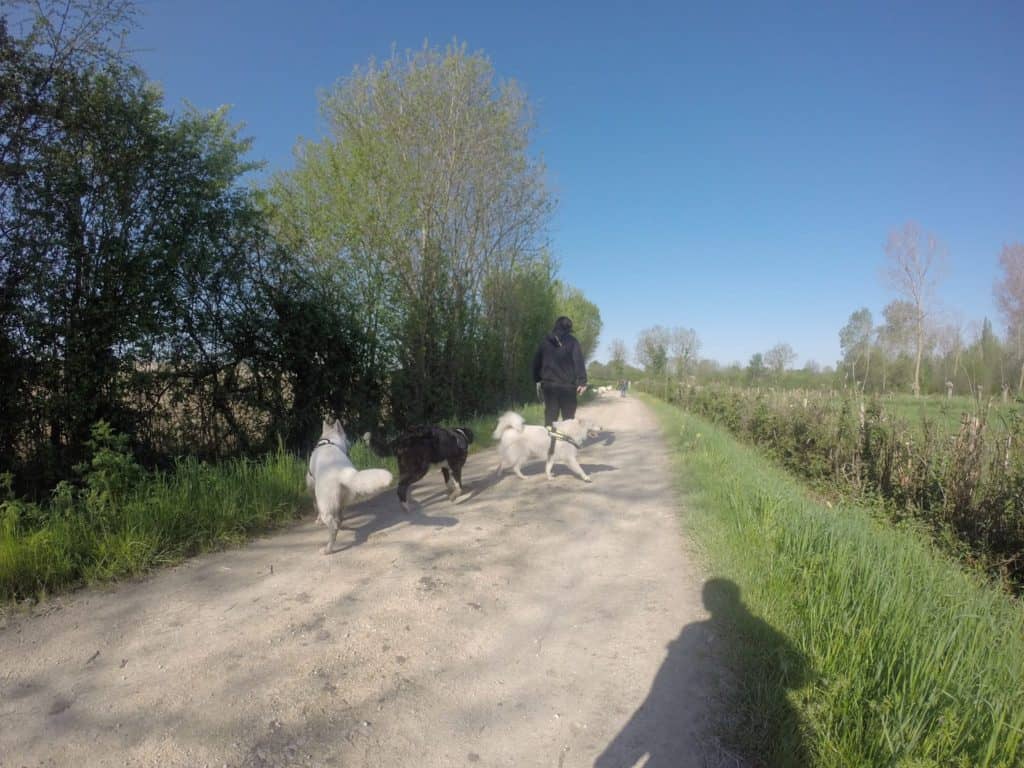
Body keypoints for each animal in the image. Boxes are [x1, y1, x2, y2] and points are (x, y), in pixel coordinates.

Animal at [307, 419, 393, 554]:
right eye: (347, 437)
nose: (350, 442)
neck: (329, 441)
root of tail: (342, 472)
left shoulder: (311, 484)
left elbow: (314, 504)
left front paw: (317, 520)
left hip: (325, 506)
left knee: (333, 526)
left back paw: (327, 549)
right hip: (342, 500)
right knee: (339, 518)